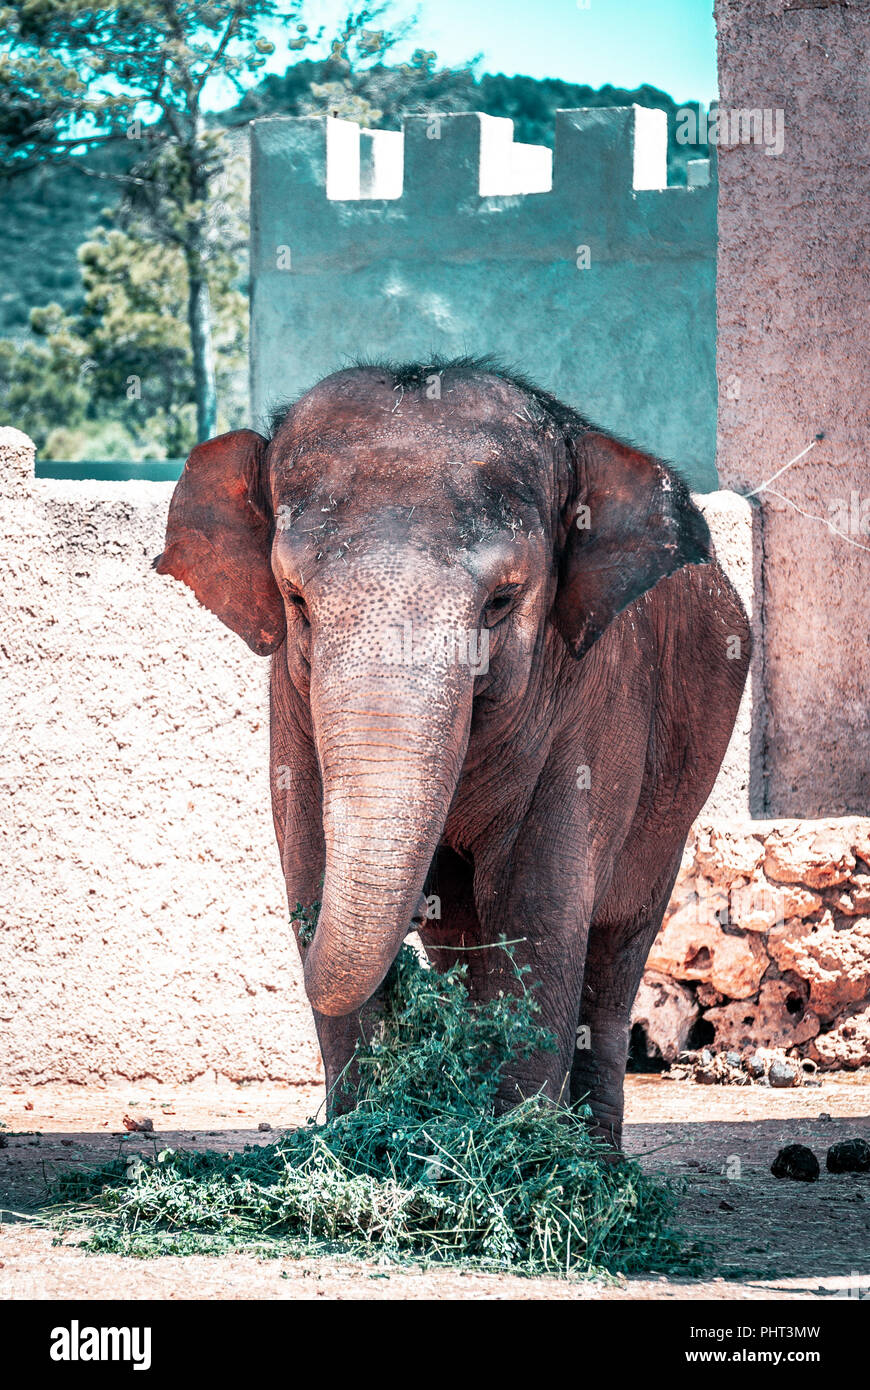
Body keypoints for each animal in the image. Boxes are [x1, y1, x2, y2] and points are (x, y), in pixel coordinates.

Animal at [155, 359, 750, 1147]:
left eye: (501, 601)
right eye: (296, 601)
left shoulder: (597, 703)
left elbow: (536, 907)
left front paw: (520, 1155)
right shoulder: (290, 705)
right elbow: (309, 862)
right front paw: (358, 1144)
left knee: (616, 947)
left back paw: (597, 1161)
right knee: (466, 942)